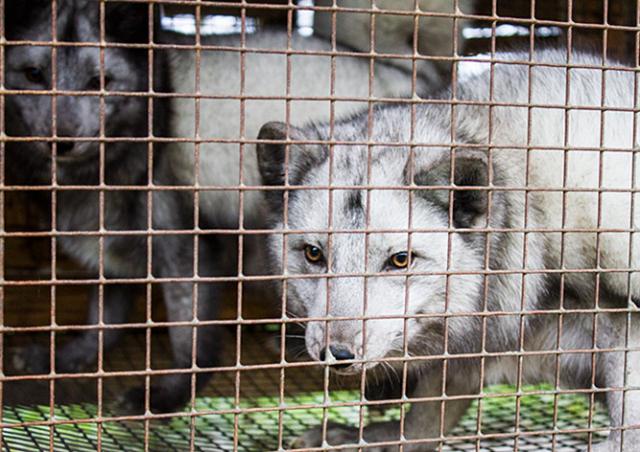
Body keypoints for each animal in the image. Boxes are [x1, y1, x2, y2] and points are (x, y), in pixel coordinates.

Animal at [5, 0, 425, 412]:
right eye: (34, 74)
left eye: (100, 82)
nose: (61, 141)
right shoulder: (108, 245)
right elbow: (102, 321)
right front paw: (66, 358)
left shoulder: (186, 242)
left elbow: (191, 338)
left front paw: (168, 396)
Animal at [256, 49, 640, 451]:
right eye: (314, 254)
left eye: (400, 259)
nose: (337, 353)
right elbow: (427, 416)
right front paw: (372, 437)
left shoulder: (617, 306)